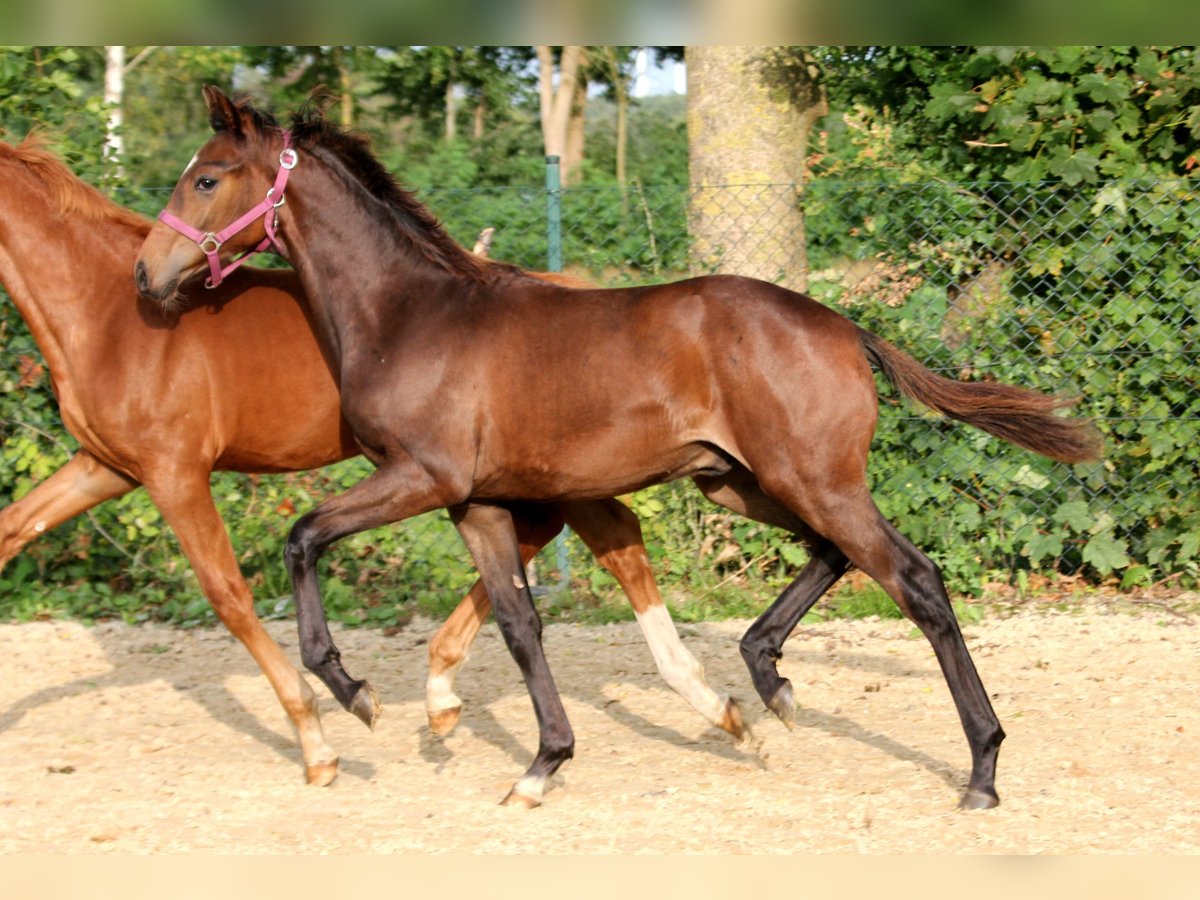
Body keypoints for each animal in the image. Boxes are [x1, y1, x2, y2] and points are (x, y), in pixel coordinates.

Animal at [0, 135, 744, 787]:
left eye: (206, 180)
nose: (148, 276)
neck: (106, 317)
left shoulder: (174, 471)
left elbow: (229, 595)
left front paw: (321, 738)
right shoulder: (107, 466)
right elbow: (12, 532)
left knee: (604, 538)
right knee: (599, 539)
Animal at [136, 90, 1099, 811]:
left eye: (207, 177)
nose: (148, 276)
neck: (411, 315)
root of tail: (842, 325)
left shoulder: (421, 477)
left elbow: (302, 537)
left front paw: (355, 690)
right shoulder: (476, 502)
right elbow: (519, 625)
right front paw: (540, 764)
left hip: (811, 480)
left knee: (915, 581)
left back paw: (981, 769)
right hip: (741, 483)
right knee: (836, 557)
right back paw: (770, 682)